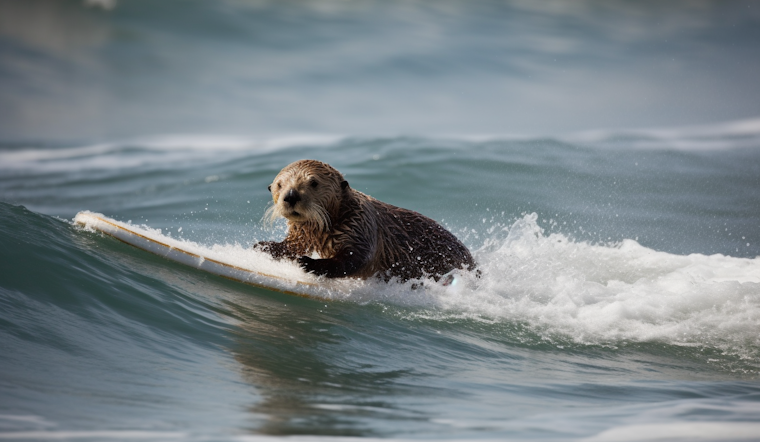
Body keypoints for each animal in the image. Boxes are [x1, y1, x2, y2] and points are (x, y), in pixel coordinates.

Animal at [253, 160, 475, 281]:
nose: (291, 196)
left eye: (314, 183)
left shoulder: (360, 226)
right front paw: (264, 246)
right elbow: (293, 245)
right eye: (279, 184)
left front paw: (309, 263)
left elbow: (354, 259)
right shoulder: (302, 233)